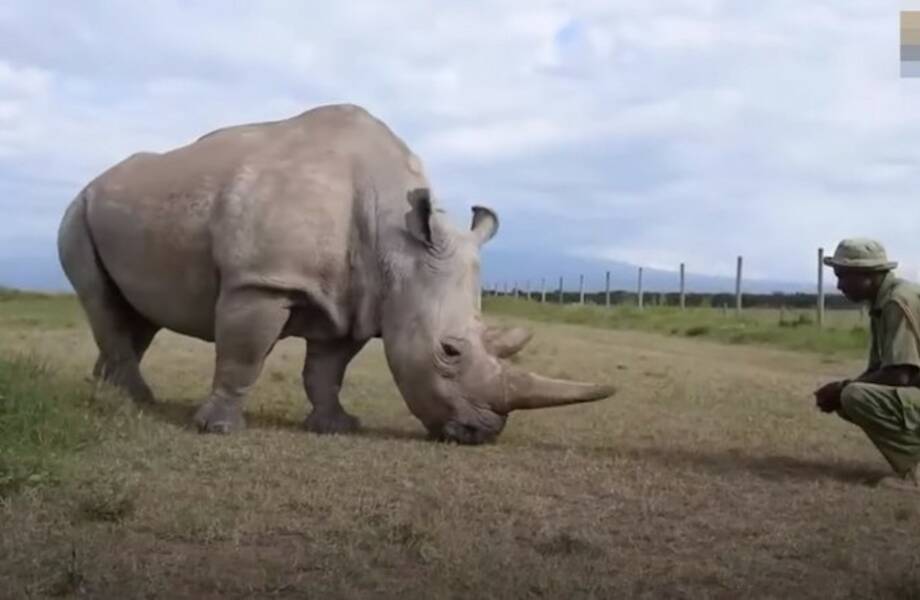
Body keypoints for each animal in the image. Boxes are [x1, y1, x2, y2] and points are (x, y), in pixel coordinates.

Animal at [59, 103, 620, 442]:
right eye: (449, 351)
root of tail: (98, 178)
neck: (399, 242)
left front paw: (337, 426)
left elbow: (326, 370)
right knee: (101, 301)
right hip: (78, 208)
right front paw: (217, 430)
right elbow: (242, 357)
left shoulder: (357, 299)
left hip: (125, 206)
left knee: (135, 314)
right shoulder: (262, 280)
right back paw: (137, 399)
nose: (483, 434)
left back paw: (106, 392)